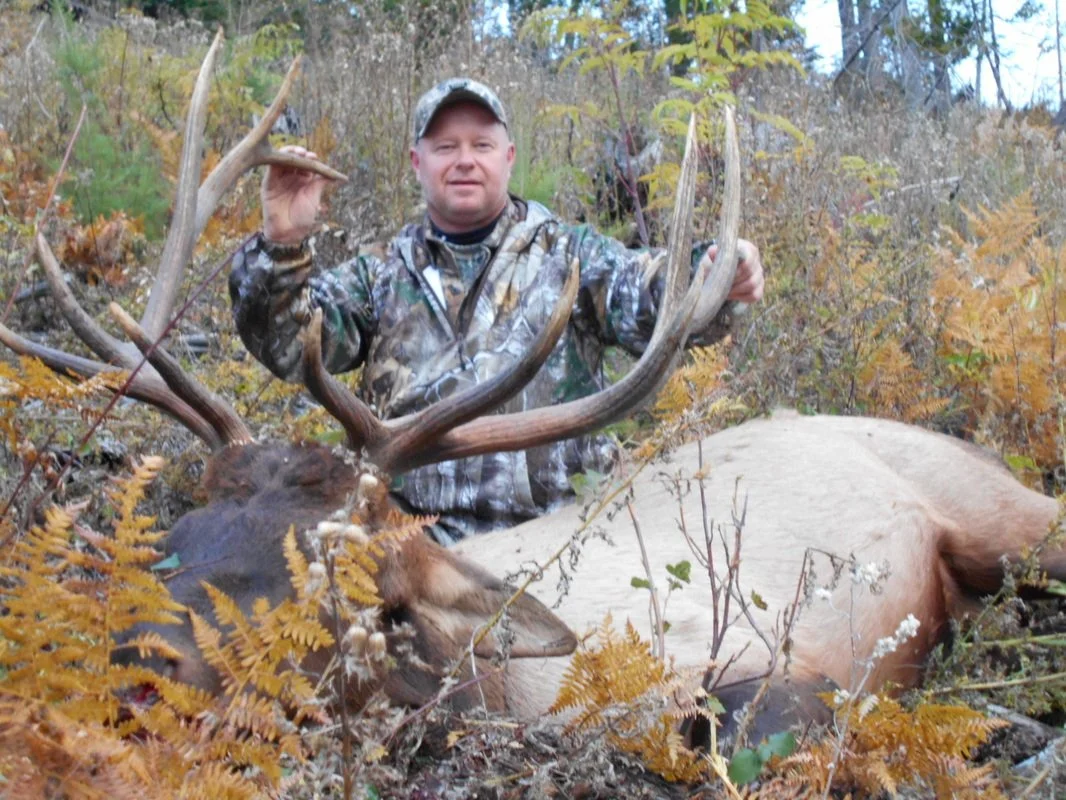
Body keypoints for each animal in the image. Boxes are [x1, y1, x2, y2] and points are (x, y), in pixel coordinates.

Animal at [2, 31, 1064, 746]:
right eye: (174, 535)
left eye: (341, 579)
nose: (135, 664)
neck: (510, 687)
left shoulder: (766, 661)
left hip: (1005, 515)